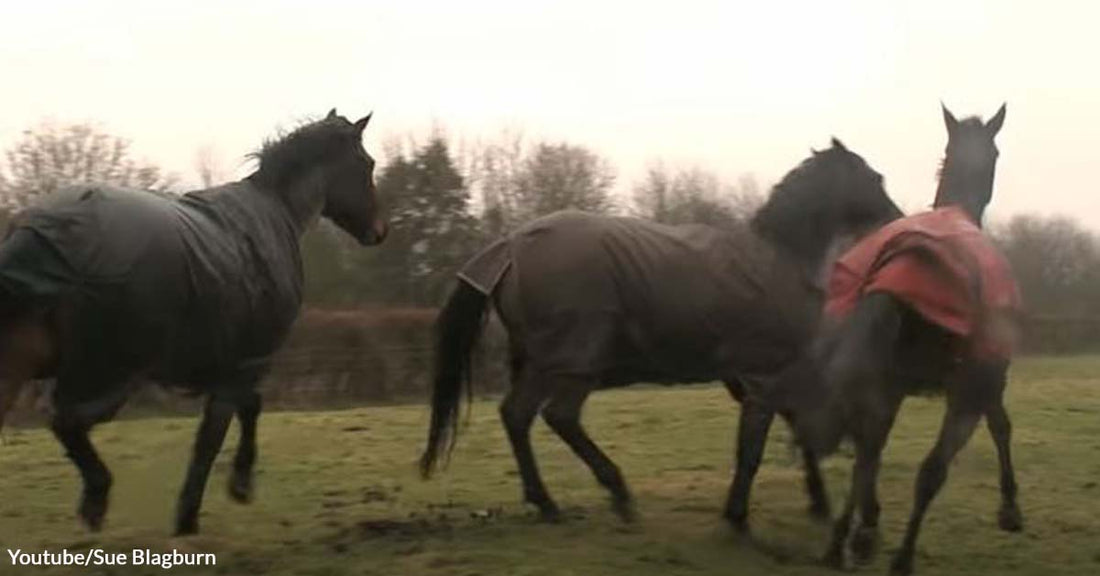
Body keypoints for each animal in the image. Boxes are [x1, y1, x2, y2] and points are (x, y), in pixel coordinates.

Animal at [0, 109, 389, 536]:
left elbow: (240, 413)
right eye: (367, 164)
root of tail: (39, 232)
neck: (273, 212)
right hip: (108, 375)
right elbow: (216, 434)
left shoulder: (229, 367)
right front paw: (205, 506)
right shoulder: (244, 364)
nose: (379, 230)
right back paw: (96, 499)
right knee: (66, 422)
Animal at [415, 137, 897, 529]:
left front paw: (817, 502)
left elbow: (792, 430)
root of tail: (510, 246)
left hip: (543, 361)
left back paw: (548, 503)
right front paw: (738, 517)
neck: (780, 255)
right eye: (875, 178)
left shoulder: (760, 377)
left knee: (516, 416)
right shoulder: (765, 372)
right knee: (560, 416)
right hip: (575, 360)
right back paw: (617, 492)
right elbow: (755, 448)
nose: (895, 221)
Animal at [778, 103, 1016, 576]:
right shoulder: (983, 380)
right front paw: (1010, 508)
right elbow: (999, 427)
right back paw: (889, 550)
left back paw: (847, 537)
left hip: (879, 387)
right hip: (953, 392)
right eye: (997, 152)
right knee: (926, 470)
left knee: (866, 453)